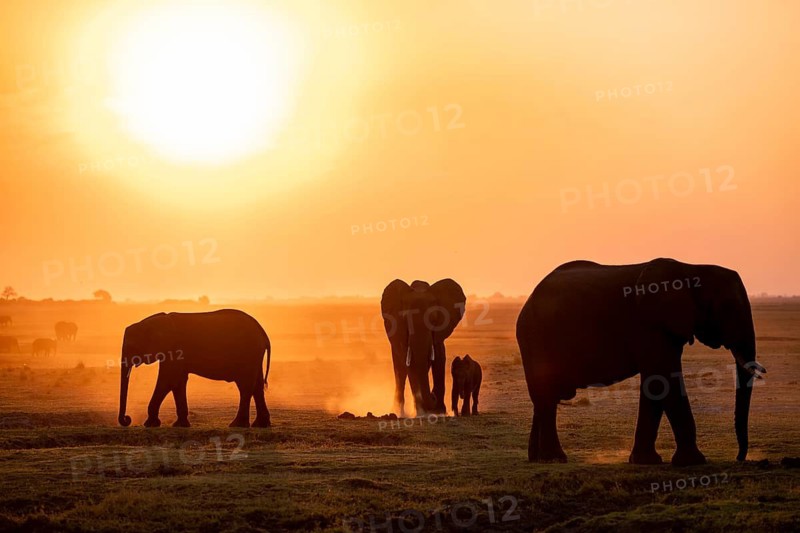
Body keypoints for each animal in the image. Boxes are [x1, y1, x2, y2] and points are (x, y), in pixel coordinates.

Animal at [118, 309, 271, 428]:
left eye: (131, 346)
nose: (127, 419)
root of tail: (263, 334)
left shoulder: (172, 348)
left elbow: (167, 381)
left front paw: (150, 424)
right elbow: (177, 382)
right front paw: (180, 425)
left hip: (248, 355)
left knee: (245, 386)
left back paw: (237, 425)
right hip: (254, 356)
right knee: (257, 386)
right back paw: (260, 425)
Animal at [381, 279, 466, 416]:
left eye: (434, 320)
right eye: (406, 320)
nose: (433, 395)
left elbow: (439, 360)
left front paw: (439, 411)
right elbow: (411, 365)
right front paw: (421, 412)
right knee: (400, 371)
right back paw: (399, 412)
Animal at [516, 258, 766, 466]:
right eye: (728, 308)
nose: (740, 458)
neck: (692, 269)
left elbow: (655, 383)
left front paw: (645, 462)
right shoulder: (651, 324)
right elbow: (664, 379)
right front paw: (693, 463)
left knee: (544, 398)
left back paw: (537, 459)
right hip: (536, 338)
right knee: (546, 396)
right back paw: (555, 459)